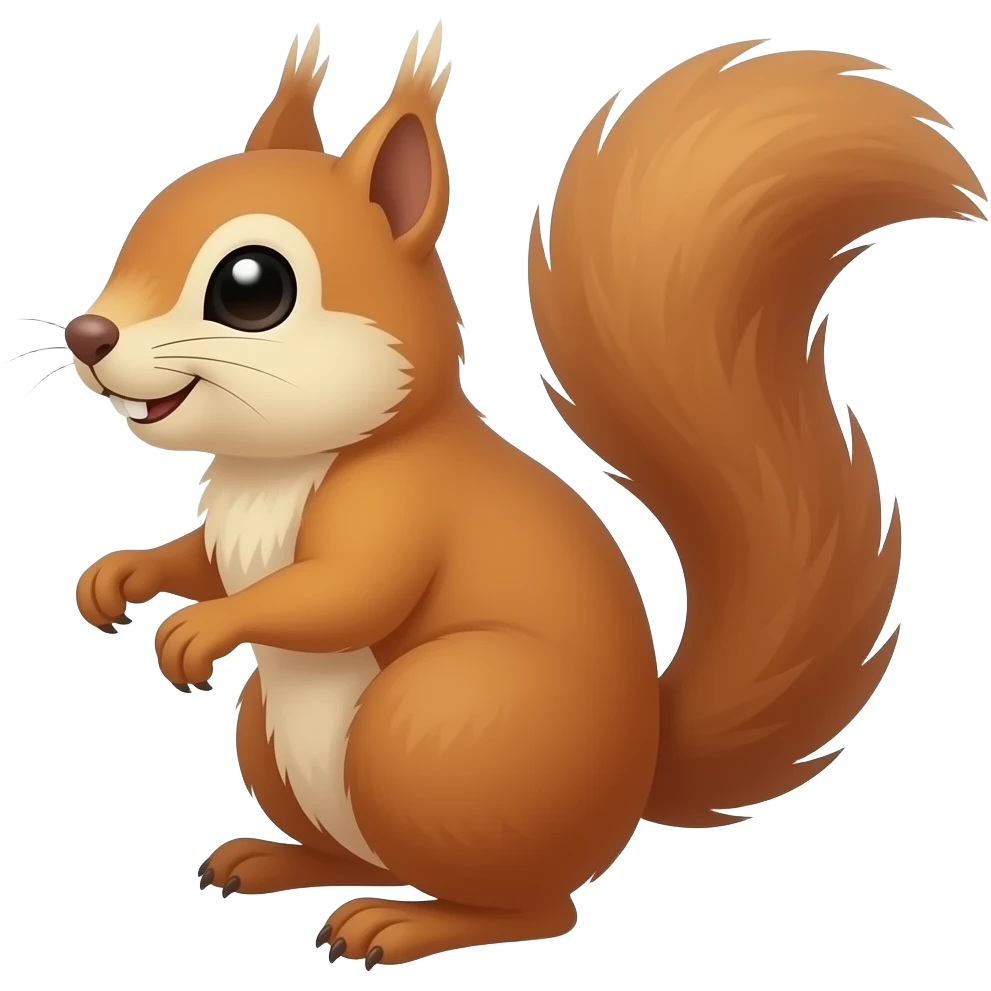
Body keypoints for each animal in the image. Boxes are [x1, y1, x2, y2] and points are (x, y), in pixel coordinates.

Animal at [66, 22, 984, 969]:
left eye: (252, 287)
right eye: (141, 223)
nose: (86, 334)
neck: (275, 466)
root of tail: (633, 782)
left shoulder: (400, 507)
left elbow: (343, 593)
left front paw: (200, 629)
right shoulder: (229, 533)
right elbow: (204, 560)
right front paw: (120, 575)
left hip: (437, 723)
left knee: (537, 908)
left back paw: (406, 921)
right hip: (276, 737)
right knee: (363, 855)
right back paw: (277, 859)